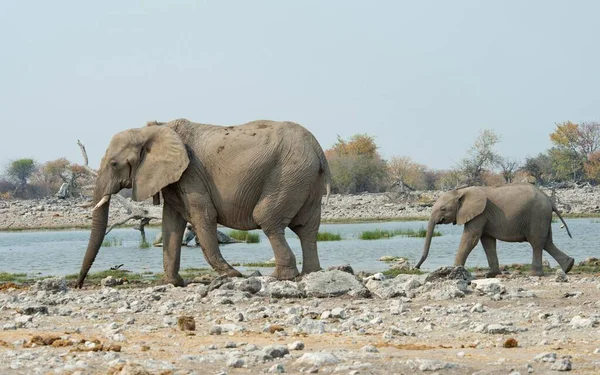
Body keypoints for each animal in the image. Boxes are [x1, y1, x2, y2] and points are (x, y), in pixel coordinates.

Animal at [77, 120, 330, 288]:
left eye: (114, 164)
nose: (78, 285)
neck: (154, 128)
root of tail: (318, 149)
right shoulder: (176, 179)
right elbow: (171, 224)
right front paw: (172, 283)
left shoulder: (191, 173)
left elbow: (204, 216)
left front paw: (233, 275)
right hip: (305, 178)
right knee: (306, 227)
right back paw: (310, 273)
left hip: (288, 174)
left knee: (266, 218)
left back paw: (280, 277)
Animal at [414, 184, 576, 278]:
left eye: (443, 209)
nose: (416, 267)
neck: (461, 191)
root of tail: (550, 200)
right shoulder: (483, 216)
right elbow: (487, 241)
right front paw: (491, 274)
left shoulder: (479, 214)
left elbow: (471, 238)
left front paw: (454, 270)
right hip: (543, 216)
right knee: (547, 242)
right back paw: (569, 266)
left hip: (537, 215)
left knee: (536, 242)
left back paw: (534, 274)